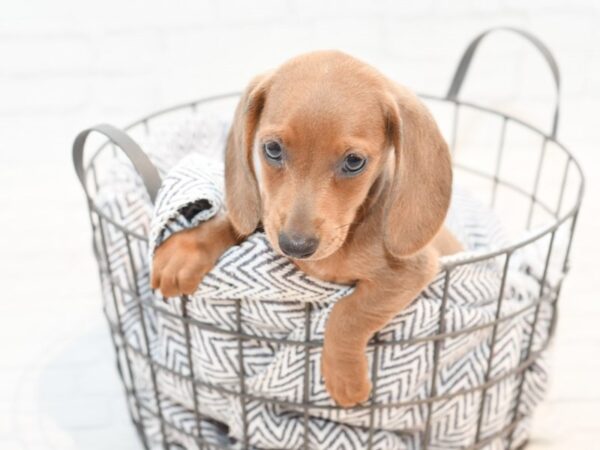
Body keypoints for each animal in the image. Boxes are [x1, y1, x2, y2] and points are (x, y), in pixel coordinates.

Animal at [152, 51, 462, 406]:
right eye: (272, 149)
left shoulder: (409, 273)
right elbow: (237, 221)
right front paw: (187, 250)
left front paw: (344, 377)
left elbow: (348, 313)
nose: (295, 246)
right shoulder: (269, 215)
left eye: (354, 162)